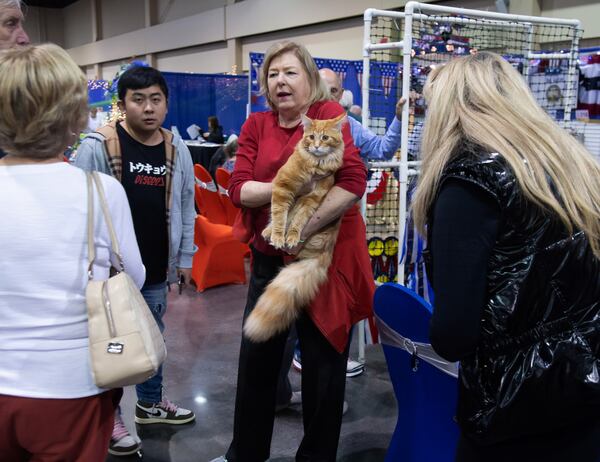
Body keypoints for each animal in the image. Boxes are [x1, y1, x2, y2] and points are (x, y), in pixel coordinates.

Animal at [244, 113, 346, 342]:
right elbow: (280, 217)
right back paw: (268, 233)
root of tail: (325, 253)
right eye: (310, 137)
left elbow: (297, 222)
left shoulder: (312, 198)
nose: (316, 146)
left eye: (325, 138)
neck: (316, 163)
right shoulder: (283, 187)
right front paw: (278, 237)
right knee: (275, 219)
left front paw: (290, 238)